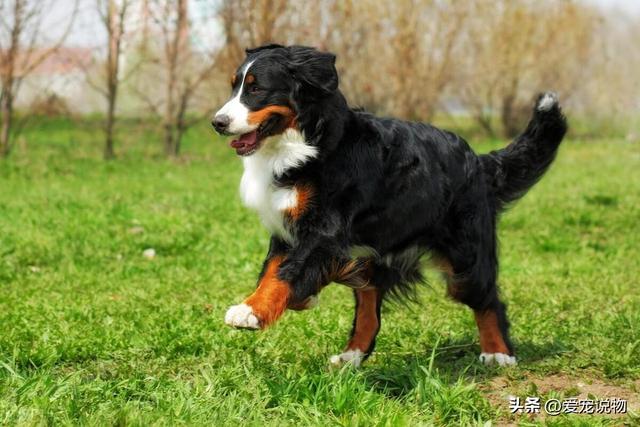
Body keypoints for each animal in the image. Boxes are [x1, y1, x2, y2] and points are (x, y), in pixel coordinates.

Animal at [212, 45, 568, 370]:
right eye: (233, 86)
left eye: (256, 89)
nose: (218, 122)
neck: (309, 144)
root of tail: (478, 161)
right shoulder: (289, 230)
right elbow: (273, 270)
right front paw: (279, 300)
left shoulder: (324, 229)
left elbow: (287, 272)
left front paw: (250, 311)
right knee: (369, 306)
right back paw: (351, 355)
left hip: (465, 258)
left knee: (488, 300)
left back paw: (498, 353)